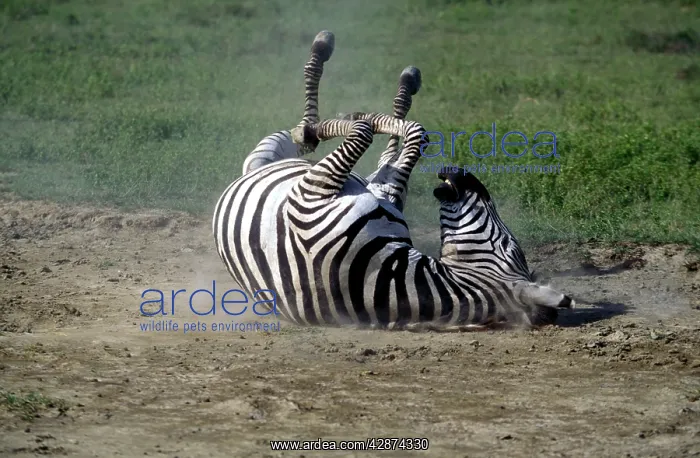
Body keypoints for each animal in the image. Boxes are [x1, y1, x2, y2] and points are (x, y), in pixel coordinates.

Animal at [213, 30, 574, 331]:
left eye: (510, 248)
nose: (463, 175)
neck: (385, 279)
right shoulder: (377, 195)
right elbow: (410, 137)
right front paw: (360, 115)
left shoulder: (310, 196)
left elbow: (374, 133)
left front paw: (339, 121)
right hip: (348, 181)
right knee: (386, 158)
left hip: (291, 163)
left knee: (308, 140)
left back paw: (314, 106)